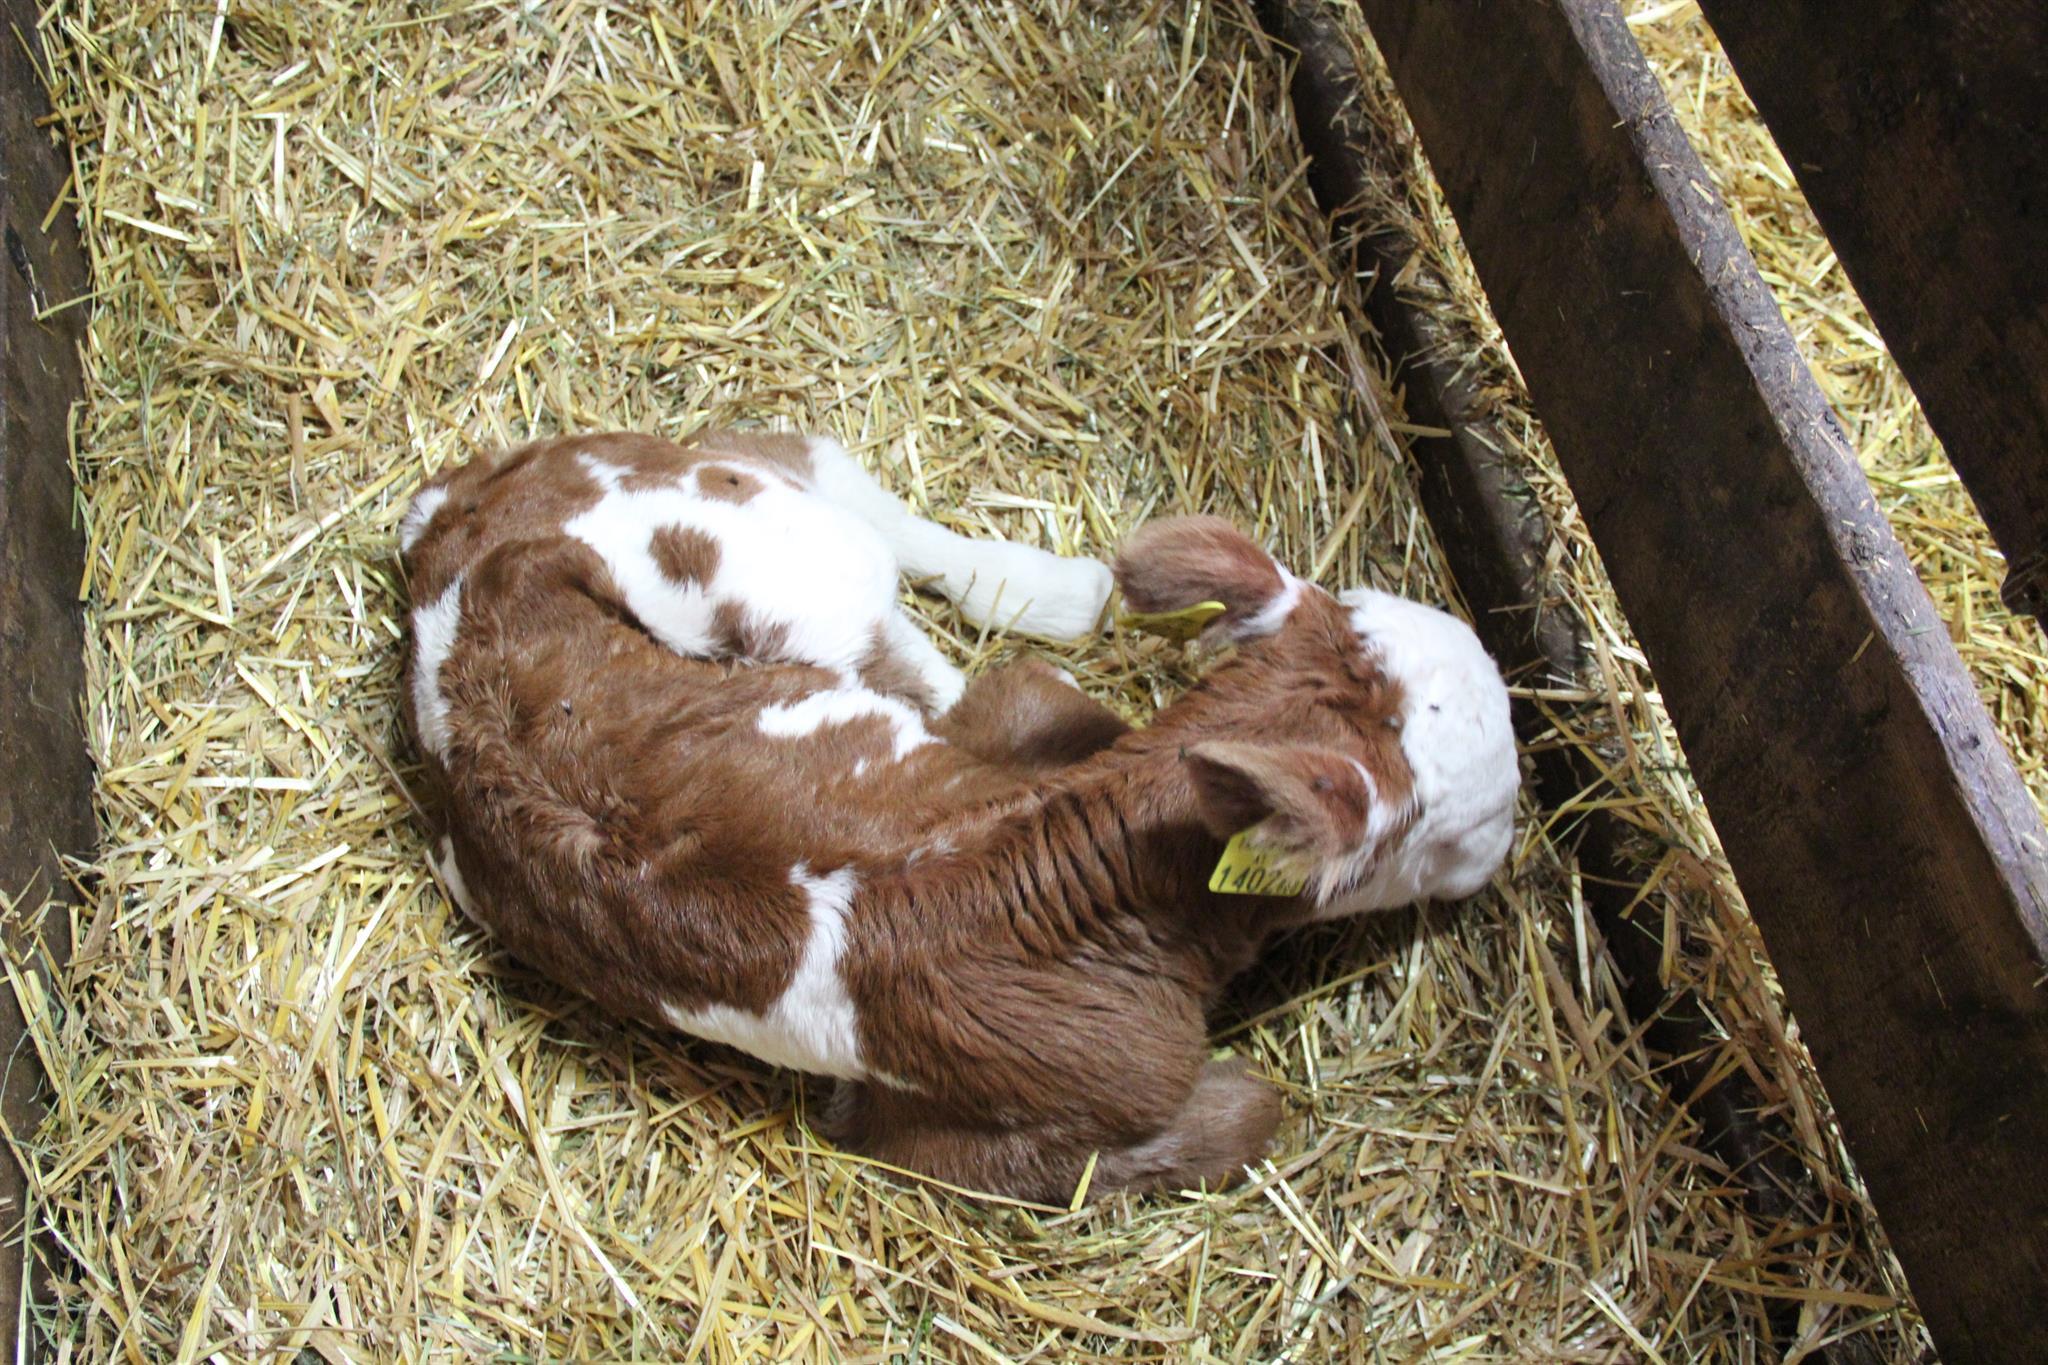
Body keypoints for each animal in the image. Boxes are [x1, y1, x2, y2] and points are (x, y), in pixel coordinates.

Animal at [399, 430, 1518, 1202]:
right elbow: (1248, 1110)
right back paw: (1059, 591)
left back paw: (1057, 591)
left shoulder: (1023, 710)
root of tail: (456, 521)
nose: (1509, 842)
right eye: (1464, 824)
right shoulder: (965, 1139)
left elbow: (1011, 693)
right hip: (781, 564)